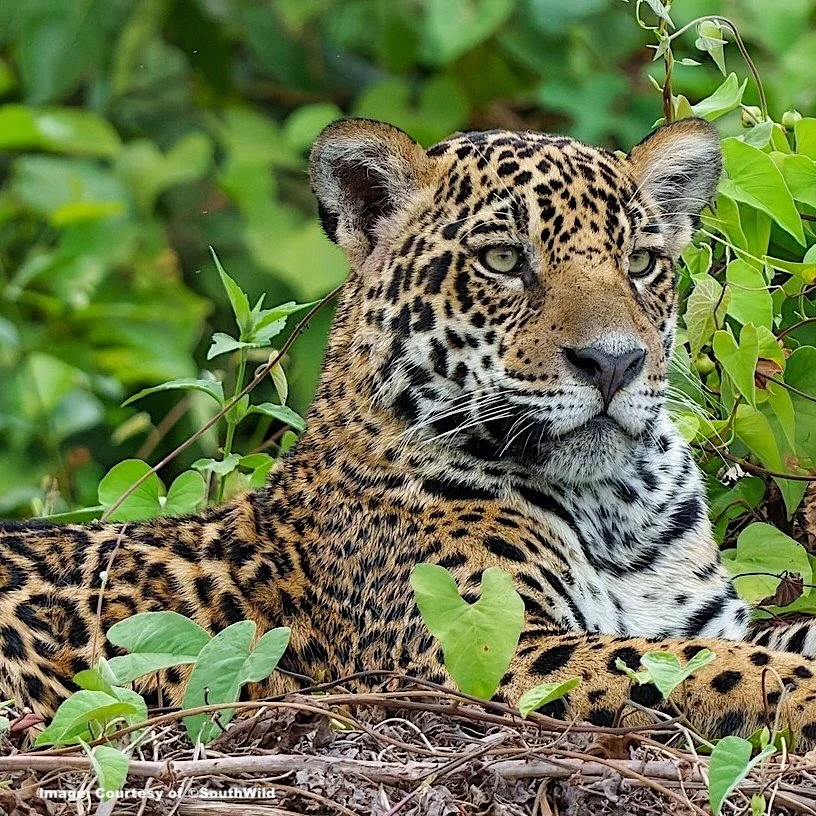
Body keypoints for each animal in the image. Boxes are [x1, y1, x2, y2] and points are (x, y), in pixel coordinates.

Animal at [2, 116, 816, 746]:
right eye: (503, 259)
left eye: (642, 263)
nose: (614, 362)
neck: (615, 509)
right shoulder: (487, 646)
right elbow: (711, 670)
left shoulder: (712, 619)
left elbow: (757, 642)